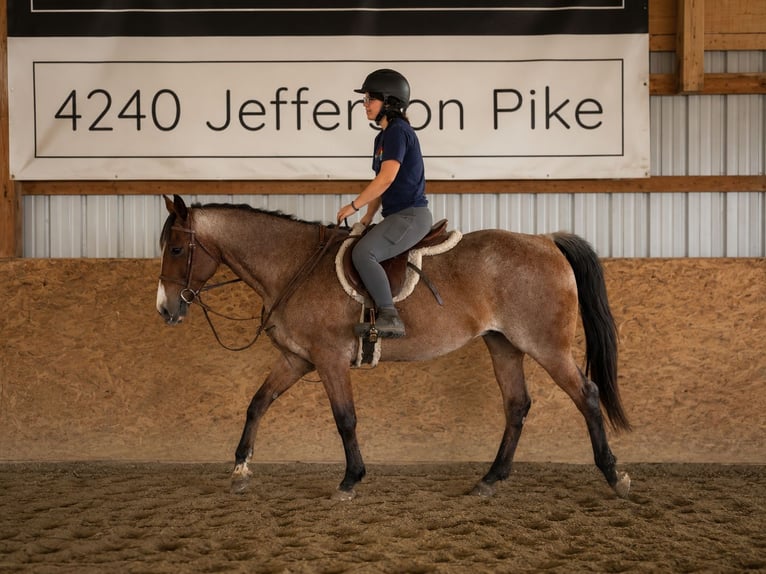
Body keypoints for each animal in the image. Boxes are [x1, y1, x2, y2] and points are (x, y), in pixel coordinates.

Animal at [156, 194, 632, 500]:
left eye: (177, 248)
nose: (165, 309)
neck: (293, 266)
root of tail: (546, 241)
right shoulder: (296, 359)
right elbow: (257, 403)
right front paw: (240, 468)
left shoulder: (329, 359)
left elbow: (345, 419)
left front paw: (351, 479)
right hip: (503, 345)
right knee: (517, 405)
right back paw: (490, 479)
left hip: (546, 346)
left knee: (587, 396)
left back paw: (614, 475)